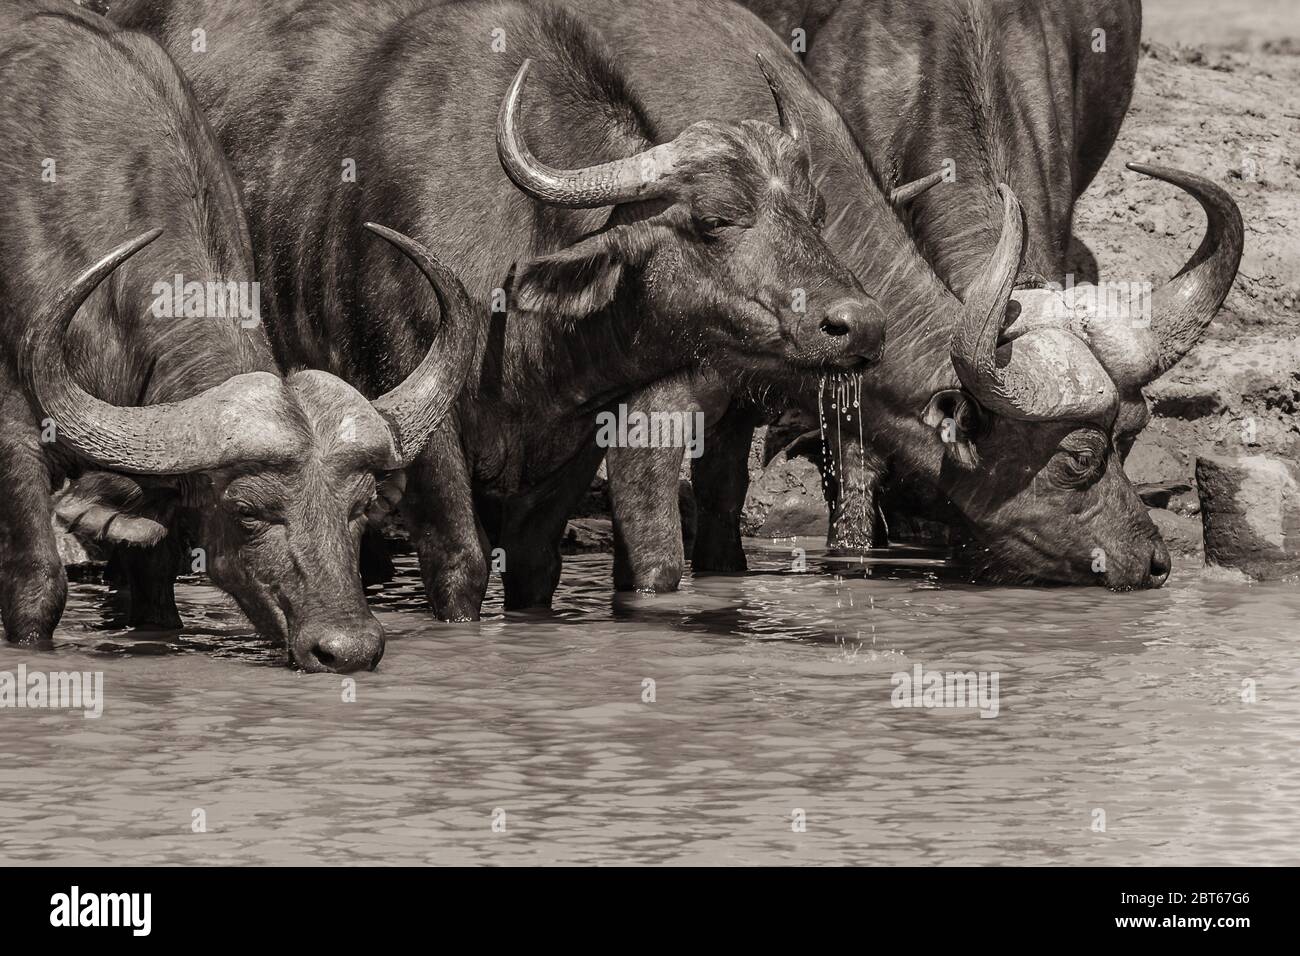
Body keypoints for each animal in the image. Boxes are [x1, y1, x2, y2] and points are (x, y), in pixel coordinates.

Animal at [0, 0, 478, 671]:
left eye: (359, 510)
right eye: (249, 512)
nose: (348, 649)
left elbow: (155, 592)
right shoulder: (12, 432)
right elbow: (37, 585)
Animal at [116, 0, 889, 621]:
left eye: (815, 210)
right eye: (716, 219)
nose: (860, 324)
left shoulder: (576, 437)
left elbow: (535, 566)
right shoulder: (420, 420)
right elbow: (459, 561)